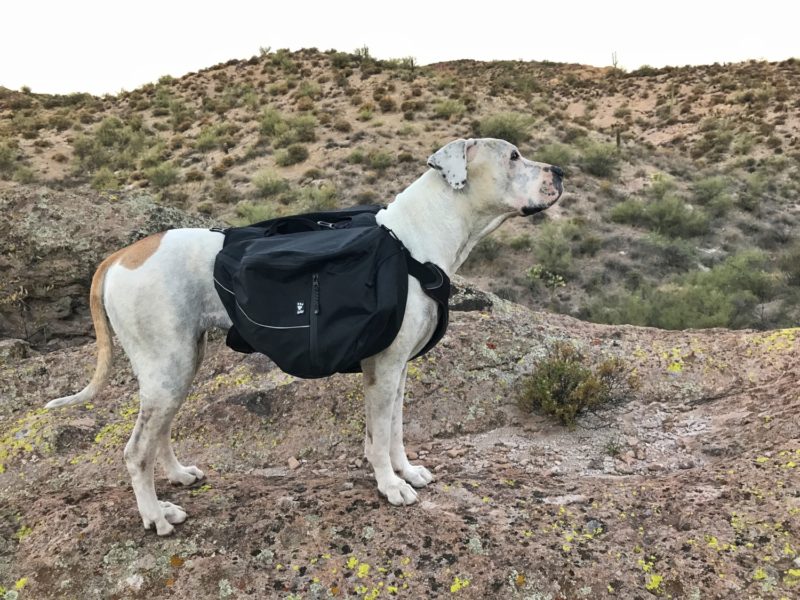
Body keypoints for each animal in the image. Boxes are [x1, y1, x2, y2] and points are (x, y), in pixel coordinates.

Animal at [47, 139, 564, 536]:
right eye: (514, 156)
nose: (560, 171)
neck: (414, 242)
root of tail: (119, 257)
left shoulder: (397, 370)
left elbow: (396, 430)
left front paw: (407, 471)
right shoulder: (383, 368)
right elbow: (379, 437)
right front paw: (390, 486)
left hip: (178, 366)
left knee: (159, 434)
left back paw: (176, 476)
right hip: (167, 368)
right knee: (136, 451)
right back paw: (155, 515)